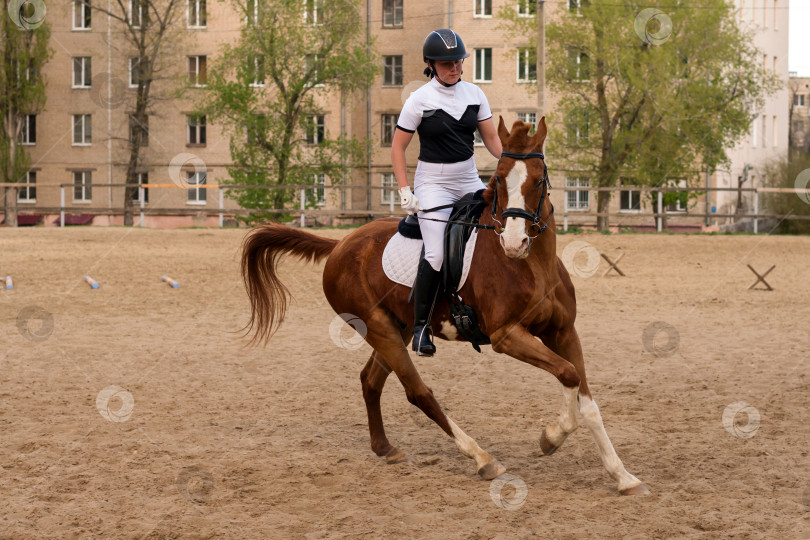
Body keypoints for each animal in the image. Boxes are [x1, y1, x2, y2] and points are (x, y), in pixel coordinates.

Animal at [241, 116, 652, 496]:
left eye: (538, 180)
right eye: (499, 180)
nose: (514, 243)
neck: (534, 265)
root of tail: (341, 243)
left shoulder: (563, 332)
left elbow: (585, 396)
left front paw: (623, 476)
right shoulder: (507, 336)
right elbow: (567, 374)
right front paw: (551, 437)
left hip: (395, 327)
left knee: (371, 380)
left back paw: (385, 448)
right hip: (379, 327)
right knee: (418, 392)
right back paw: (482, 459)